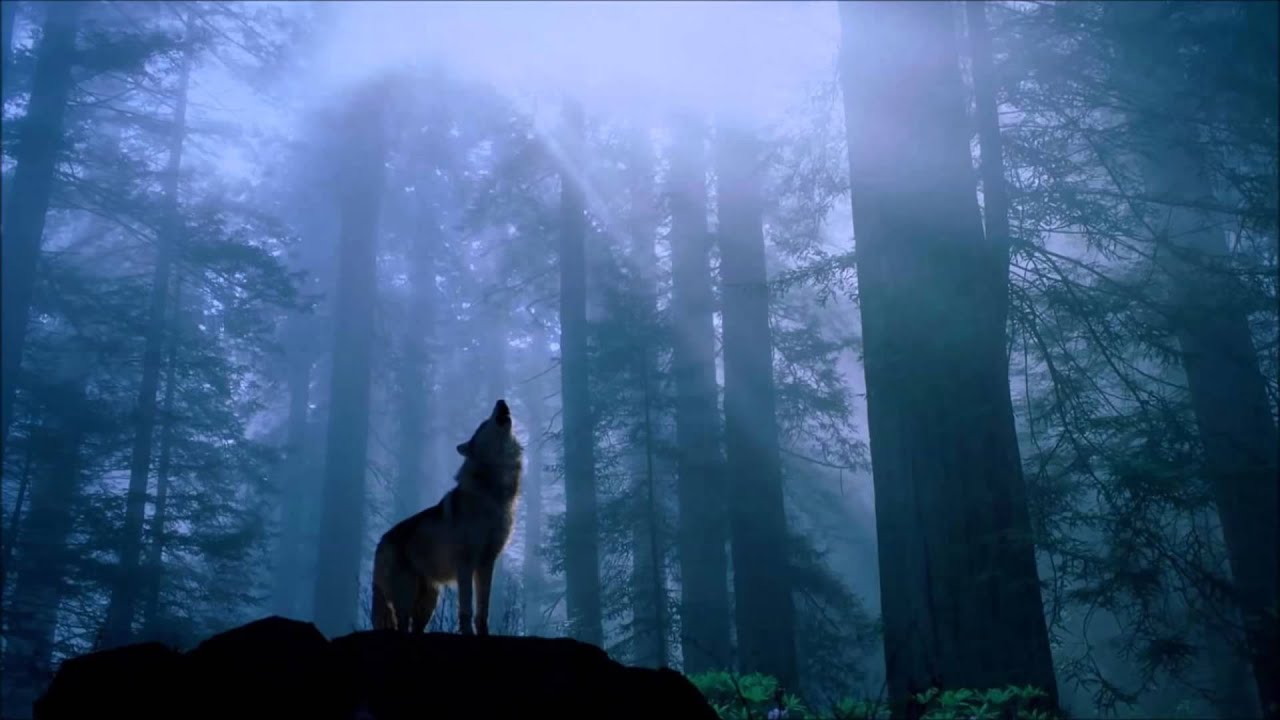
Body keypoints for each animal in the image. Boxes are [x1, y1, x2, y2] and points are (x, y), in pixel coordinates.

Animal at [370, 399, 524, 636]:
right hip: (406, 598)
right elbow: (466, 609)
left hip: (429, 602)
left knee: (415, 628)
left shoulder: (487, 562)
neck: (492, 492)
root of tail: (381, 541)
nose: (501, 401)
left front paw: (484, 634)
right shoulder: (465, 564)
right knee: (402, 626)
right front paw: (468, 633)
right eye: (483, 423)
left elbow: (483, 610)